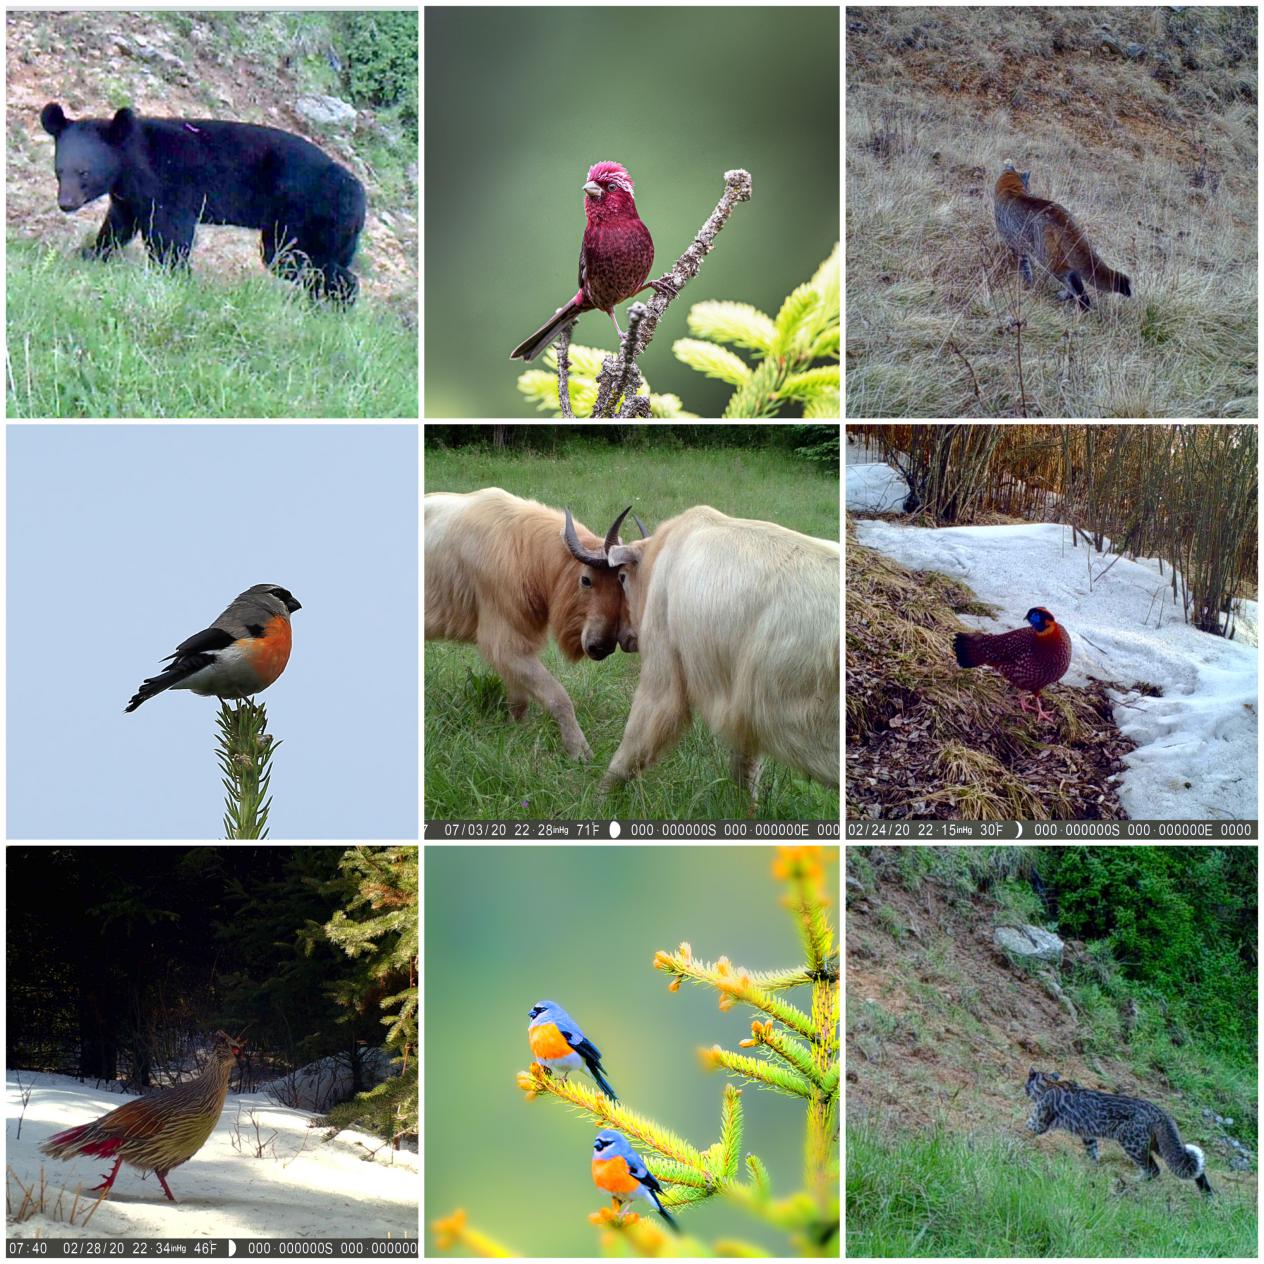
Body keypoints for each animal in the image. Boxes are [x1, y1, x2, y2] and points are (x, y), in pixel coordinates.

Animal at [39, 103, 366, 305]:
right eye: (59, 170)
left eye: (84, 172)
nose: (65, 203)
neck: (130, 164)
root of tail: (360, 196)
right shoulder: (129, 197)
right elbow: (118, 227)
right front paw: (89, 253)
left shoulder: (171, 185)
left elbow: (169, 235)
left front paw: (176, 277)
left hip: (306, 213)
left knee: (293, 256)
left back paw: (338, 302)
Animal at [996, 160, 1137, 308]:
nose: (1030, 189)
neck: (1009, 190)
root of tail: (1061, 216)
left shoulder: (1016, 245)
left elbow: (1025, 270)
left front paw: (1027, 285)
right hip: (1064, 256)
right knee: (1076, 278)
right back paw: (1069, 298)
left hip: (1049, 260)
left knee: (1074, 284)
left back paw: (1081, 305)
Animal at [1026, 1066, 1213, 1193]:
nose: (1025, 1090)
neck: (1050, 1084)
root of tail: (1161, 1112)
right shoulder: (1088, 1135)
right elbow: (1093, 1152)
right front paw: (1093, 1168)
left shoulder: (1039, 1122)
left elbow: (1027, 1125)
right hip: (1159, 1146)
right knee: (1195, 1169)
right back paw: (1208, 1198)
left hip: (1132, 1143)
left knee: (1153, 1170)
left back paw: (1130, 1181)